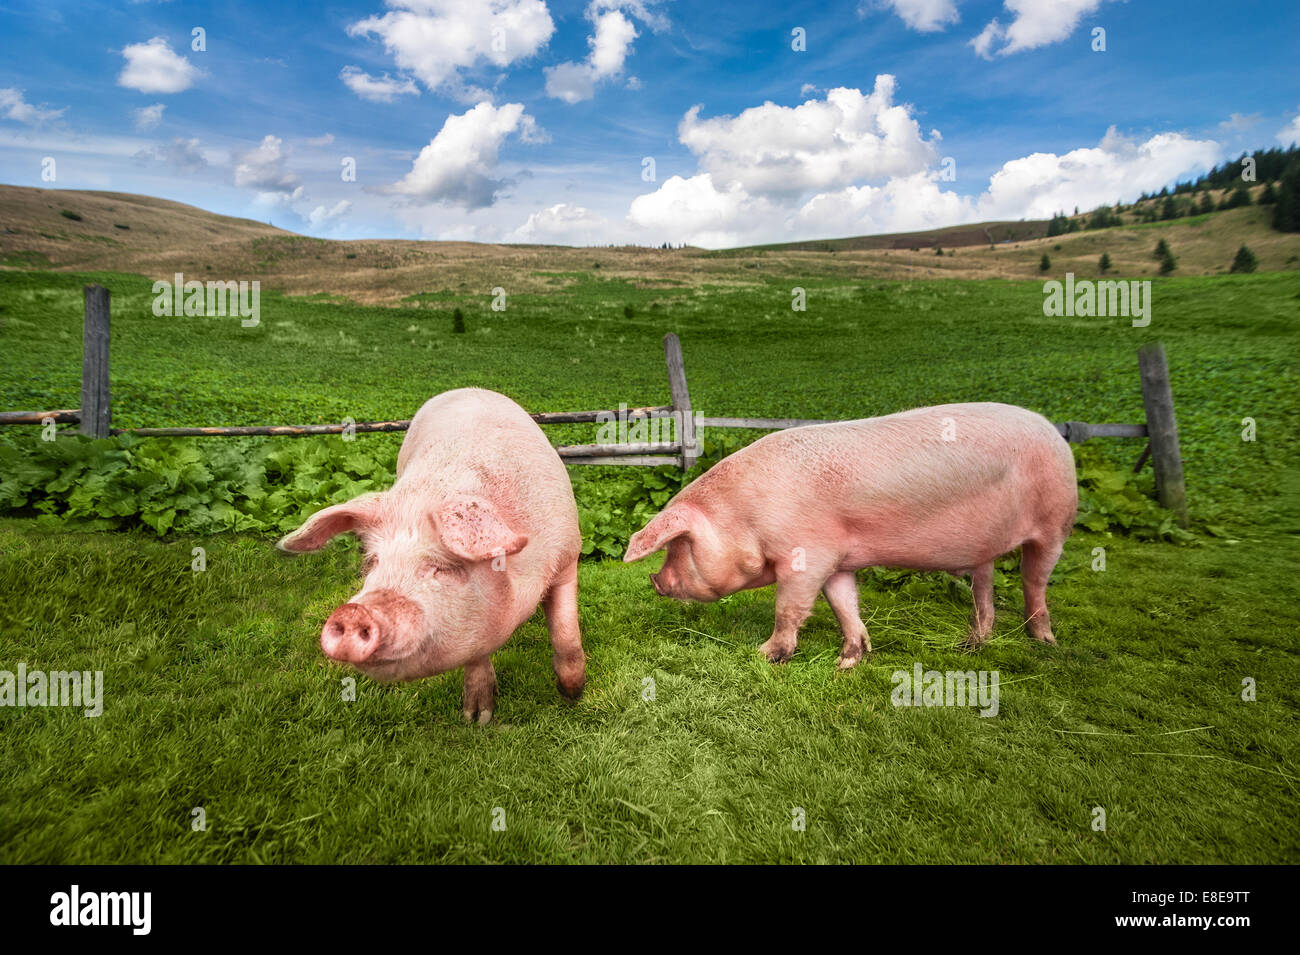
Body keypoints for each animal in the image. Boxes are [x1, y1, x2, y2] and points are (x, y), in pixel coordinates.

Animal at [279, 389, 585, 722]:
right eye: (373, 562)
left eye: (440, 567)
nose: (352, 612)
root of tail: (467, 388)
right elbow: (477, 656)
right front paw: (477, 718)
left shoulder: (568, 556)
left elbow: (566, 633)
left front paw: (572, 696)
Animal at [621, 407, 1076, 670]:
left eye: (678, 545)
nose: (655, 581)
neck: (745, 516)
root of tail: (1055, 433)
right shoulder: (838, 560)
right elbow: (844, 605)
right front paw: (849, 661)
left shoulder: (807, 557)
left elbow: (789, 608)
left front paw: (764, 655)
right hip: (986, 549)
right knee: (985, 587)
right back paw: (972, 644)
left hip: (1056, 523)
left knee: (1034, 581)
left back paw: (1045, 642)